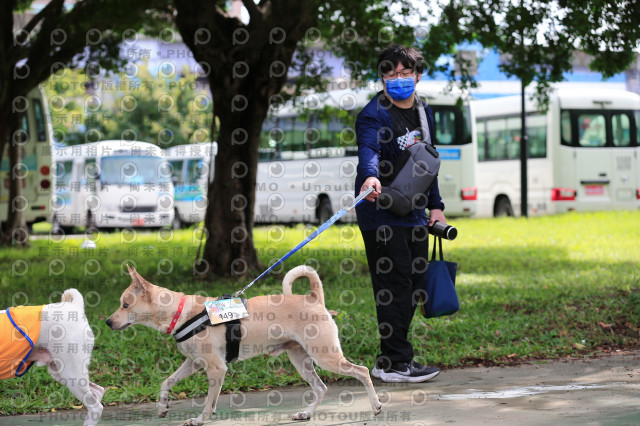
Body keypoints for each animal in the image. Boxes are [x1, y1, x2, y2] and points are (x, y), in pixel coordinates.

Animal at [107, 264, 382, 424]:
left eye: (125, 305)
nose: (108, 322)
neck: (181, 313)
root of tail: (314, 298)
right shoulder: (194, 363)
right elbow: (167, 381)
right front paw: (163, 407)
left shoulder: (216, 368)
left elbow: (208, 402)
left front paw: (199, 419)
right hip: (300, 359)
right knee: (321, 387)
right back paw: (307, 413)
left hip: (325, 356)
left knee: (361, 371)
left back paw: (376, 405)